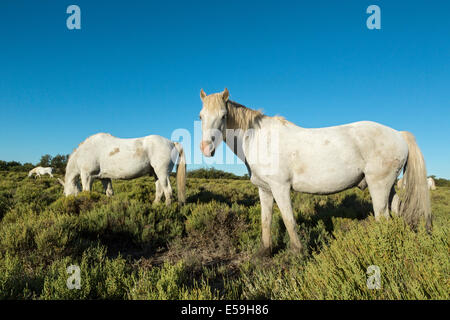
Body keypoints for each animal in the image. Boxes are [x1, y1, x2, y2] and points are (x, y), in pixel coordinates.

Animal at [58, 133, 186, 205]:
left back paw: (167, 208)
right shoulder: (104, 177)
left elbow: (86, 192)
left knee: (168, 191)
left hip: (162, 173)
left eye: (65, 192)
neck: (83, 152)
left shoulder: (87, 176)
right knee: (159, 190)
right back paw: (155, 206)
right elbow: (109, 192)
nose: (67, 202)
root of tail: (172, 143)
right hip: (156, 174)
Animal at [199, 89, 430, 254]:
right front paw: (265, 251)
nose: (206, 148)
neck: (260, 139)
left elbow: (289, 220)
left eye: (223, 115)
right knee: (398, 210)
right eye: (201, 116)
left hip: (378, 186)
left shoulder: (280, 188)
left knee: (383, 217)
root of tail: (398, 134)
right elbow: (266, 220)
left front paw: (298, 252)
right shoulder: (264, 190)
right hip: (389, 186)